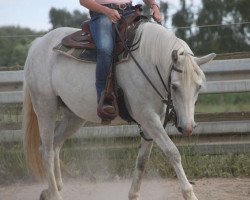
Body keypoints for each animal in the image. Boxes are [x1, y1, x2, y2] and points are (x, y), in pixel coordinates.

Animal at [23, 22, 215, 200]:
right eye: (174, 86)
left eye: (199, 87)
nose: (188, 127)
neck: (148, 63)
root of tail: (38, 45)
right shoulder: (147, 117)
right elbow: (172, 152)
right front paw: (189, 193)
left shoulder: (154, 121)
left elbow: (142, 159)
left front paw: (133, 194)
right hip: (45, 108)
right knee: (47, 150)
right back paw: (55, 193)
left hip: (74, 116)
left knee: (55, 144)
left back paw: (52, 188)